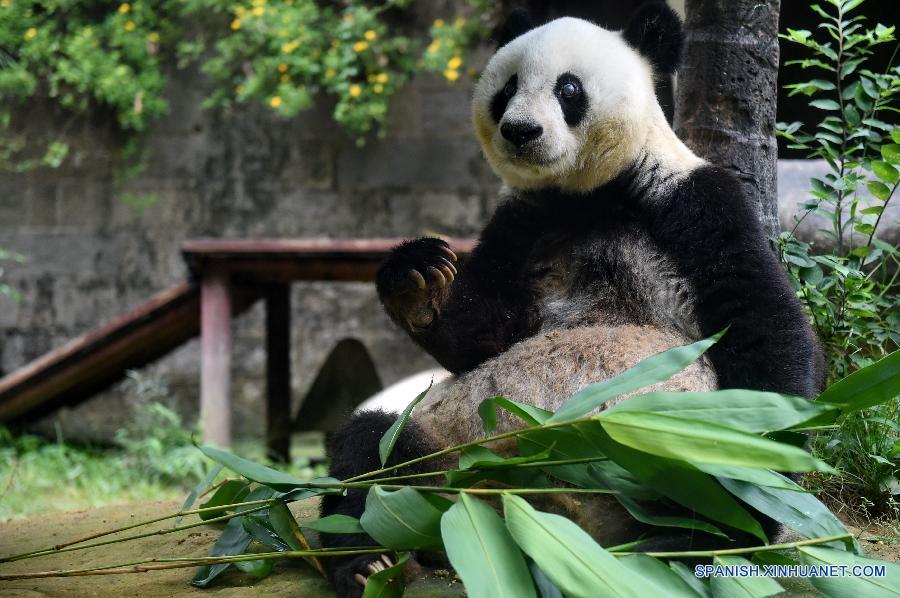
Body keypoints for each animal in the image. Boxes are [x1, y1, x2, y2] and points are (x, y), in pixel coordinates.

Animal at [322, 3, 824, 596]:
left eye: (568, 89)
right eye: (507, 89)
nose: (519, 130)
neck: (587, 194)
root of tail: (534, 512)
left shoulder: (693, 200)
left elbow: (762, 324)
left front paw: (758, 501)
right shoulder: (524, 221)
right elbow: (482, 337)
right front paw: (419, 280)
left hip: (665, 447)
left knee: (694, 485)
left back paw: (684, 542)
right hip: (439, 440)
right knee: (371, 453)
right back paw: (364, 559)